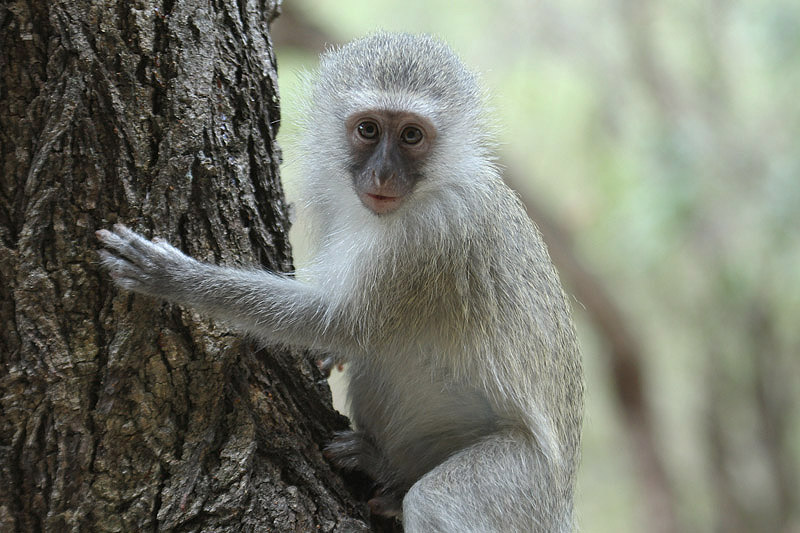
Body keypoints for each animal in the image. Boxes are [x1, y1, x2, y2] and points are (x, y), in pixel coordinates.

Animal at [97, 33, 584, 532]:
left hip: (520, 487)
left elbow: (339, 322)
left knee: (436, 500)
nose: (383, 174)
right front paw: (328, 356)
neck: (422, 195)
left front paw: (178, 279)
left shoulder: (432, 238)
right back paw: (388, 476)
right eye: (368, 130)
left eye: (411, 135)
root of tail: (561, 502)